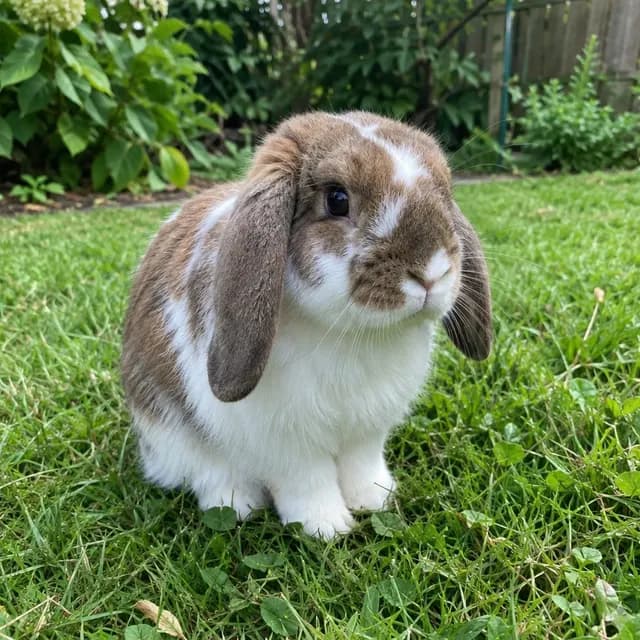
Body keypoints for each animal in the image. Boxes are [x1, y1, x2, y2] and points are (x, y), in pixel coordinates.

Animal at [121, 111, 492, 539]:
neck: (353, 335)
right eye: (337, 199)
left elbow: (362, 466)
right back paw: (235, 504)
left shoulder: (367, 432)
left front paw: (375, 500)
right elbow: (307, 481)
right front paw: (326, 527)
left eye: (445, 193)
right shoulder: (286, 444)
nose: (432, 272)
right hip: (173, 437)